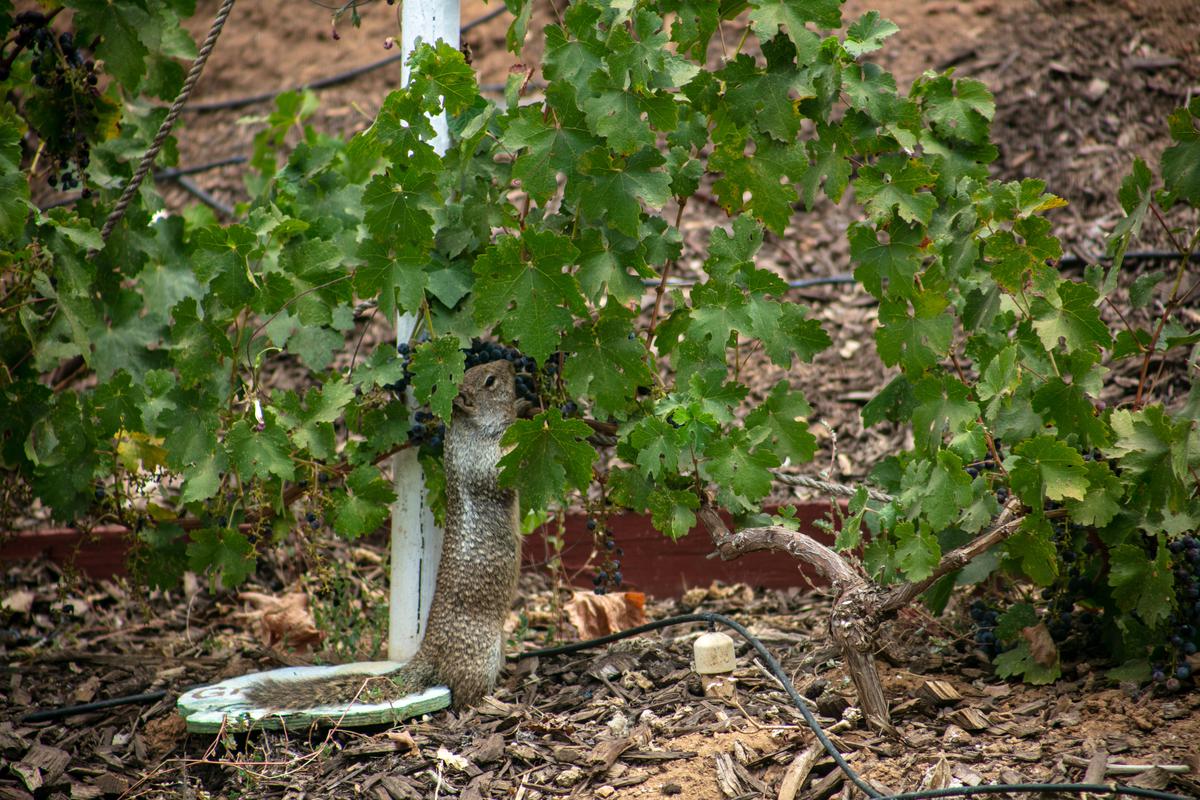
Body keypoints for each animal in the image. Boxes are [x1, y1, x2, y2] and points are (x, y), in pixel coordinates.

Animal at [243, 359, 520, 710]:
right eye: (490, 380)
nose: (510, 363)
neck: (469, 430)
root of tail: (425, 655)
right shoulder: (485, 463)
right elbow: (506, 469)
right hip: (481, 655)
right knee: (463, 694)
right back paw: (493, 704)